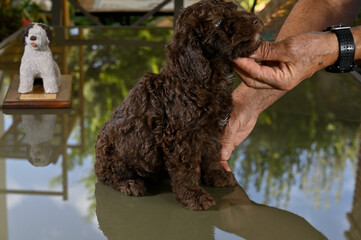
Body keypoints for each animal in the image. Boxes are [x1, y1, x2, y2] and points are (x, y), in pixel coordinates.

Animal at [94, 0, 262, 210]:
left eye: (236, 8)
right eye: (219, 22)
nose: (256, 20)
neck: (199, 80)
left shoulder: (212, 131)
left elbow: (212, 155)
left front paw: (217, 175)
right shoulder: (181, 137)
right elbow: (186, 170)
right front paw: (194, 196)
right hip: (113, 156)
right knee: (108, 175)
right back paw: (129, 184)